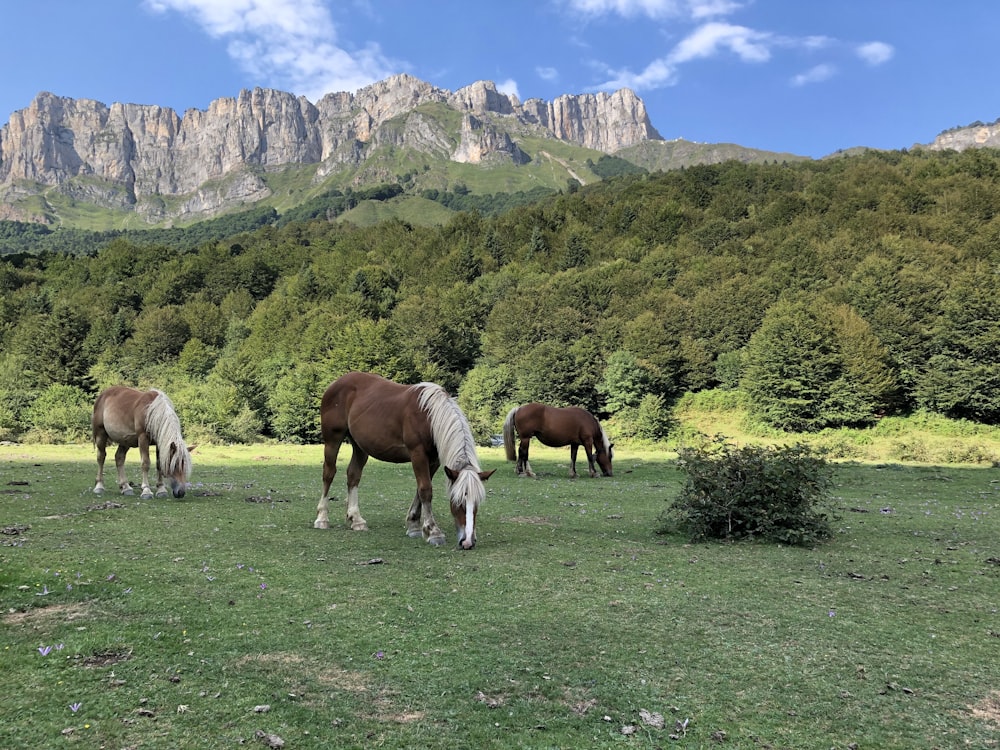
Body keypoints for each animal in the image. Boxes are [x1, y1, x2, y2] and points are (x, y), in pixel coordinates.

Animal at [312, 374, 496, 548]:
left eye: (477, 502)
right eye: (458, 501)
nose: (468, 542)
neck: (429, 416)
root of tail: (336, 383)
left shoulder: (434, 460)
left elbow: (420, 489)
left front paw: (414, 525)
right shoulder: (417, 454)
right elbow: (425, 490)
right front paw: (433, 532)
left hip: (360, 447)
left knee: (353, 476)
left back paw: (356, 519)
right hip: (332, 440)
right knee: (329, 473)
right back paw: (322, 518)